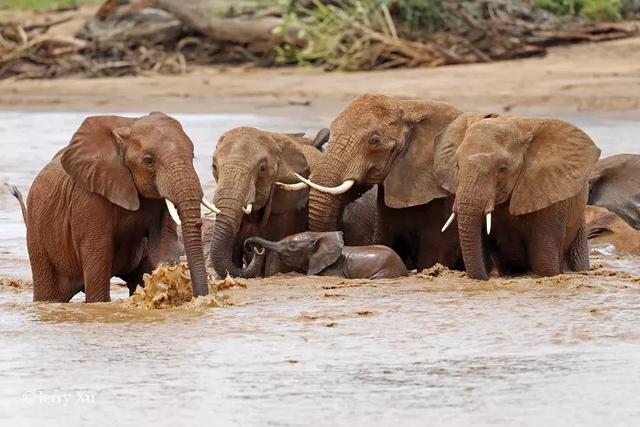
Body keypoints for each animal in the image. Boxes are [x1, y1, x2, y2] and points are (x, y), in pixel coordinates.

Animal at [18, 112, 210, 302]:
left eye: (193, 157)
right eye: (148, 161)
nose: (201, 297)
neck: (128, 126)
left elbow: (163, 242)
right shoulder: (89, 196)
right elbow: (98, 252)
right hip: (38, 239)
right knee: (49, 291)